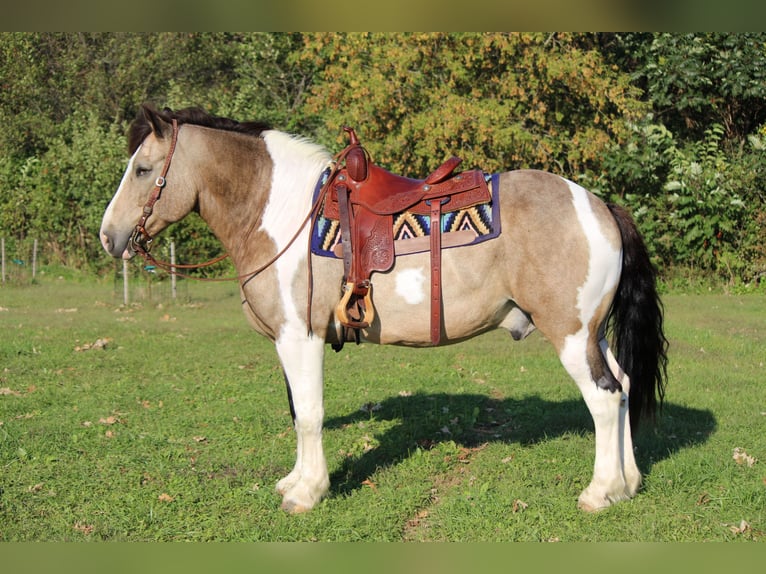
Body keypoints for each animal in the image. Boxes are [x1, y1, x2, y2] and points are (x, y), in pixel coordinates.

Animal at [100, 106, 664, 516]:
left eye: (143, 170)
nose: (109, 236)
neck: (278, 215)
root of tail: (599, 204)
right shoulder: (287, 340)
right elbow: (298, 411)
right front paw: (296, 479)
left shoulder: (300, 336)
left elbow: (309, 414)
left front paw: (307, 493)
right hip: (592, 333)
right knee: (624, 385)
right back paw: (629, 482)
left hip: (569, 333)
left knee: (603, 398)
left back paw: (601, 492)